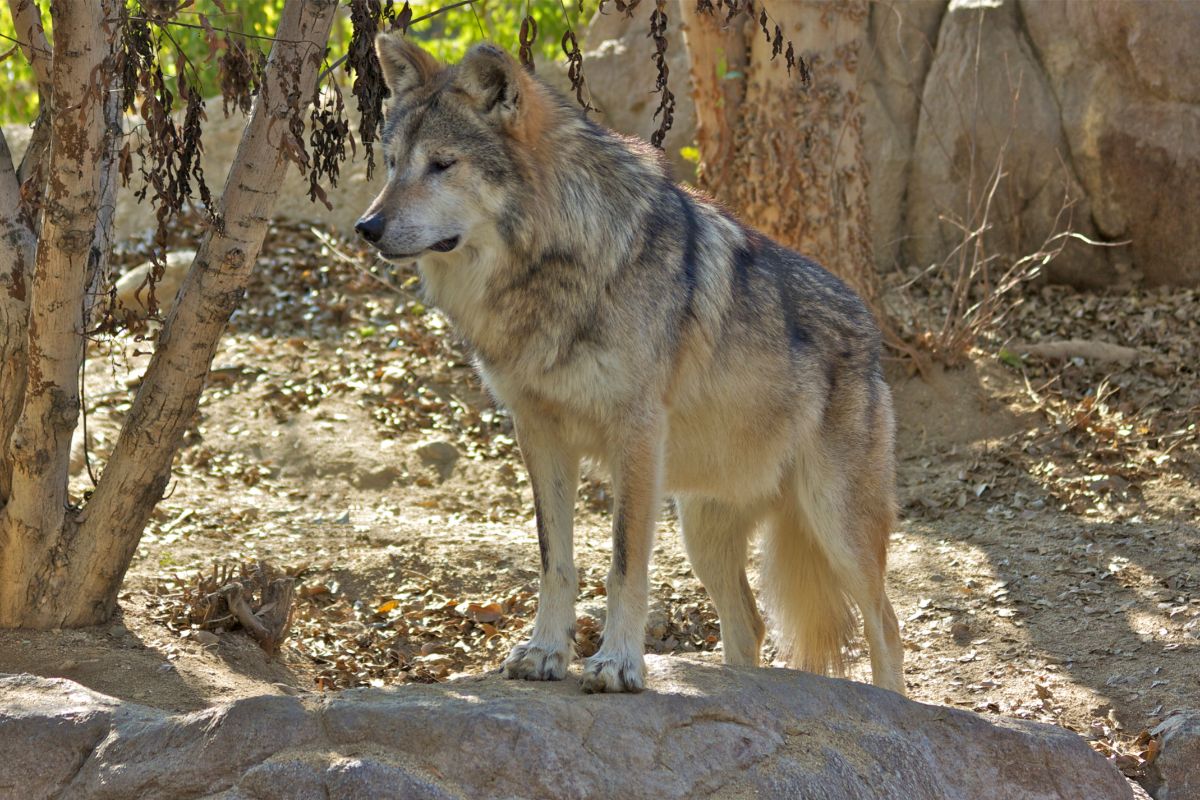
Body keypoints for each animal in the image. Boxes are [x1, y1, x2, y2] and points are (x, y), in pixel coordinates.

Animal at [355, 34, 902, 695]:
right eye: (390, 163)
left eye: (441, 164)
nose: (366, 226)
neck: (553, 264)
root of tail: (871, 330)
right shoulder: (538, 434)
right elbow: (555, 560)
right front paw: (544, 653)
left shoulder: (635, 435)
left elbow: (623, 565)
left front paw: (617, 663)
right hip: (704, 531)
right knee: (749, 624)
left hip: (835, 523)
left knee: (885, 625)